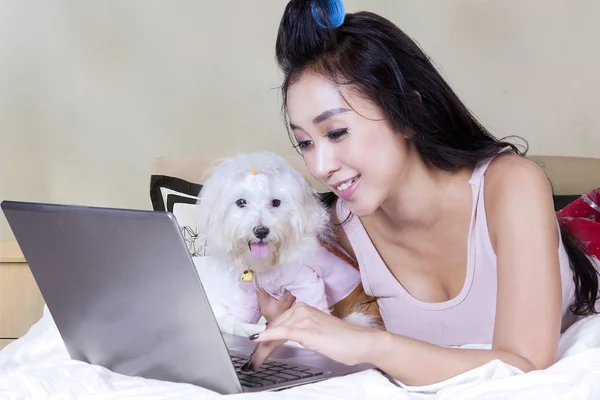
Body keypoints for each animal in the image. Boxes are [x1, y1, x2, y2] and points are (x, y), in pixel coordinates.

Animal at [197, 151, 382, 328]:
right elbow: (240, 316)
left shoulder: (307, 282)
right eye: (241, 202)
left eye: (276, 202)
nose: (261, 231)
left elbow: (314, 313)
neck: (270, 263)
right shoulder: (250, 291)